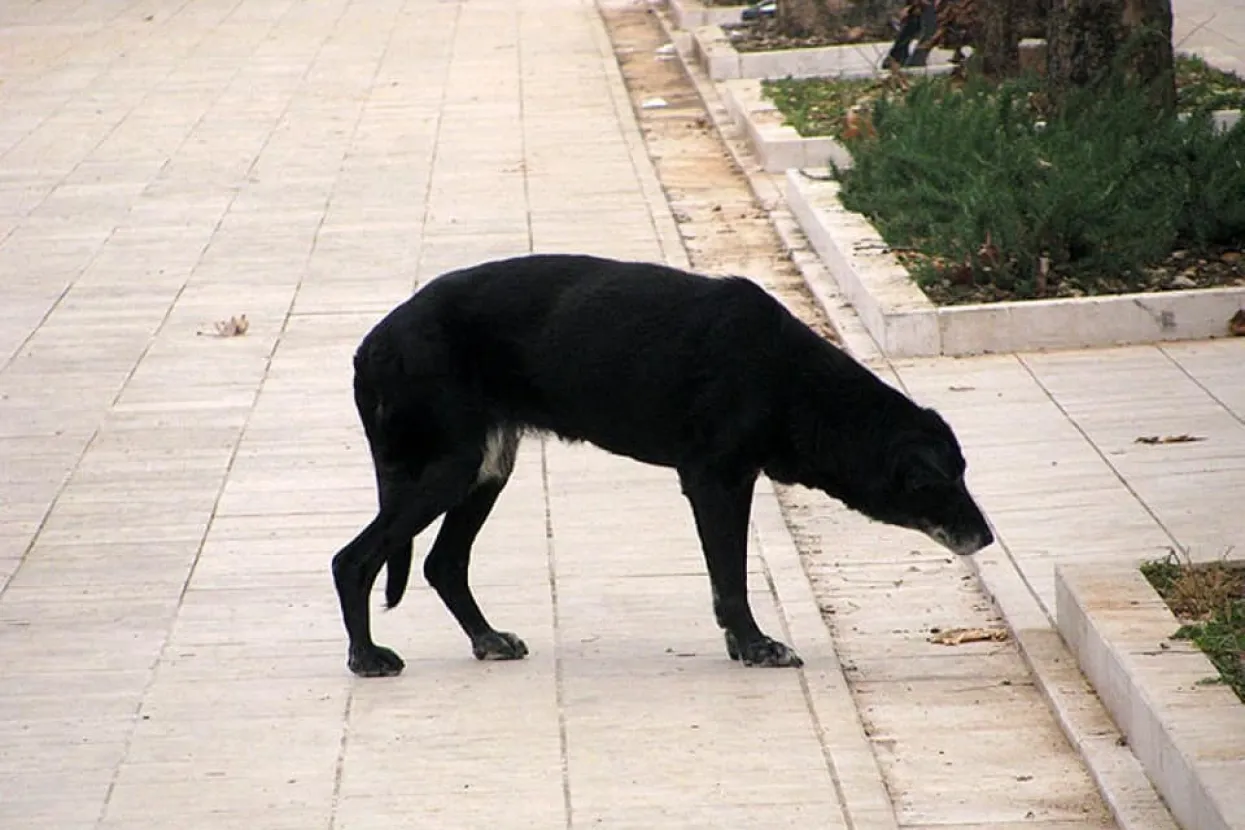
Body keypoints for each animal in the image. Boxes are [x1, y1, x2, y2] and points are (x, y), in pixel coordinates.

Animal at [331, 256, 991, 676]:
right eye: (939, 481)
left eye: (964, 471)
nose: (986, 537)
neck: (790, 378)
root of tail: (371, 345)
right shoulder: (715, 481)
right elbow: (731, 581)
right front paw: (754, 645)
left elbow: (728, 578)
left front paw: (743, 644)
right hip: (449, 468)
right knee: (353, 560)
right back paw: (366, 657)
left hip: (486, 468)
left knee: (442, 564)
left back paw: (485, 638)